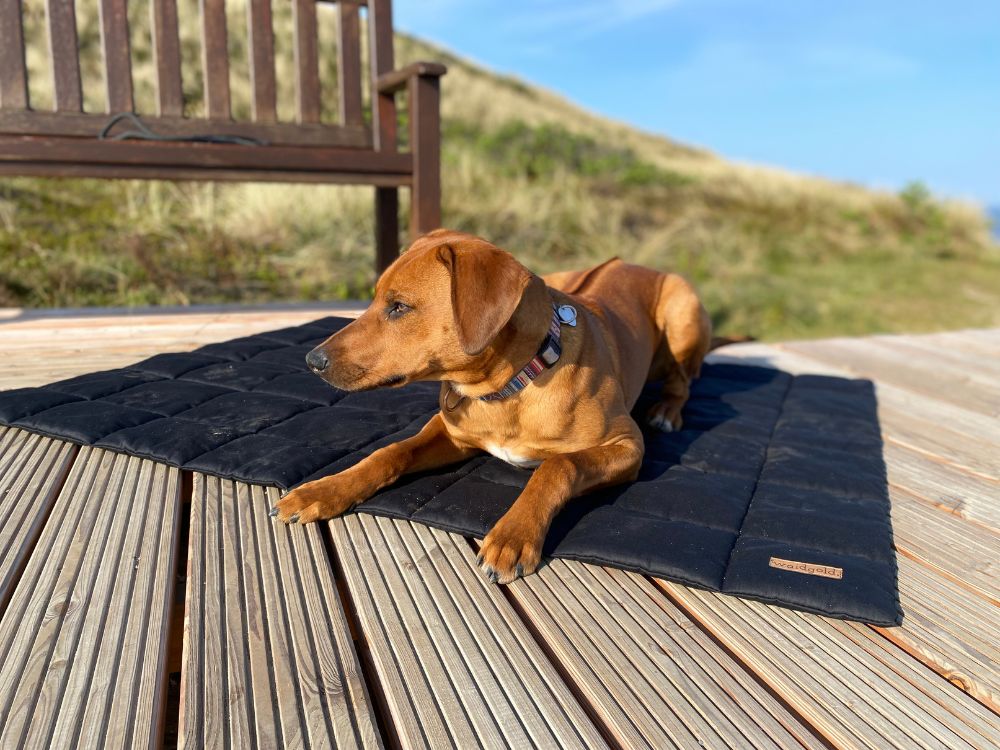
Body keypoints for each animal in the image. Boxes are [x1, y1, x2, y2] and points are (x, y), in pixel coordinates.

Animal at [270, 229, 716, 588]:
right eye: (377, 298)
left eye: (398, 307)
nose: (312, 360)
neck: (511, 386)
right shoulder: (451, 432)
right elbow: (391, 452)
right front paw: (325, 489)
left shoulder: (627, 445)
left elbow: (559, 465)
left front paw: (514, 534)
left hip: (682, 314)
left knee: (683, 379)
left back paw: (667, 409)